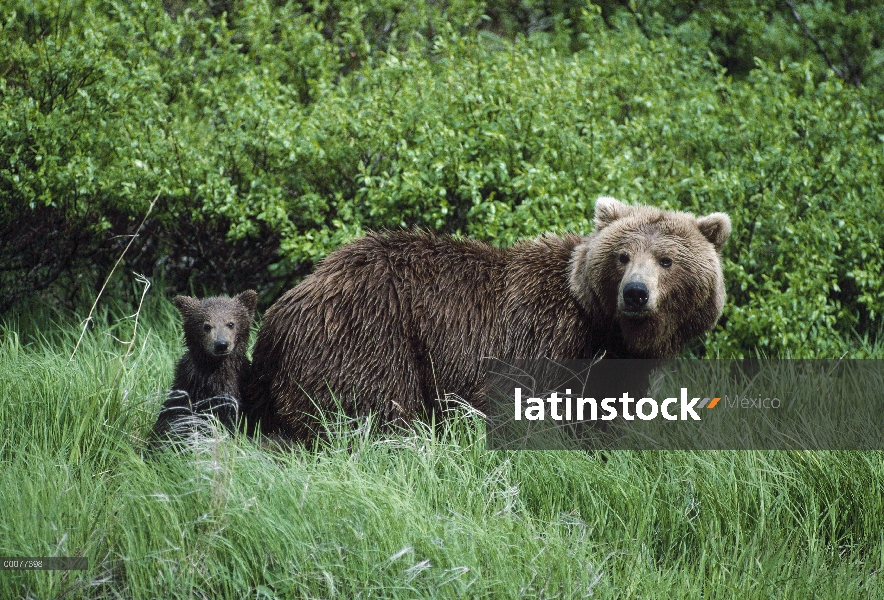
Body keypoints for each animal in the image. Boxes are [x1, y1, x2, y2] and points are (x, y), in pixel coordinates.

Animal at [238, 197, 728, 440]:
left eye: (666, 260)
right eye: (623, 255)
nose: (635, 293)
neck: (603, 329)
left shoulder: (611, 371)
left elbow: (598, 418)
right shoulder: (541, 339)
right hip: (367, 334)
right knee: (374, 411)